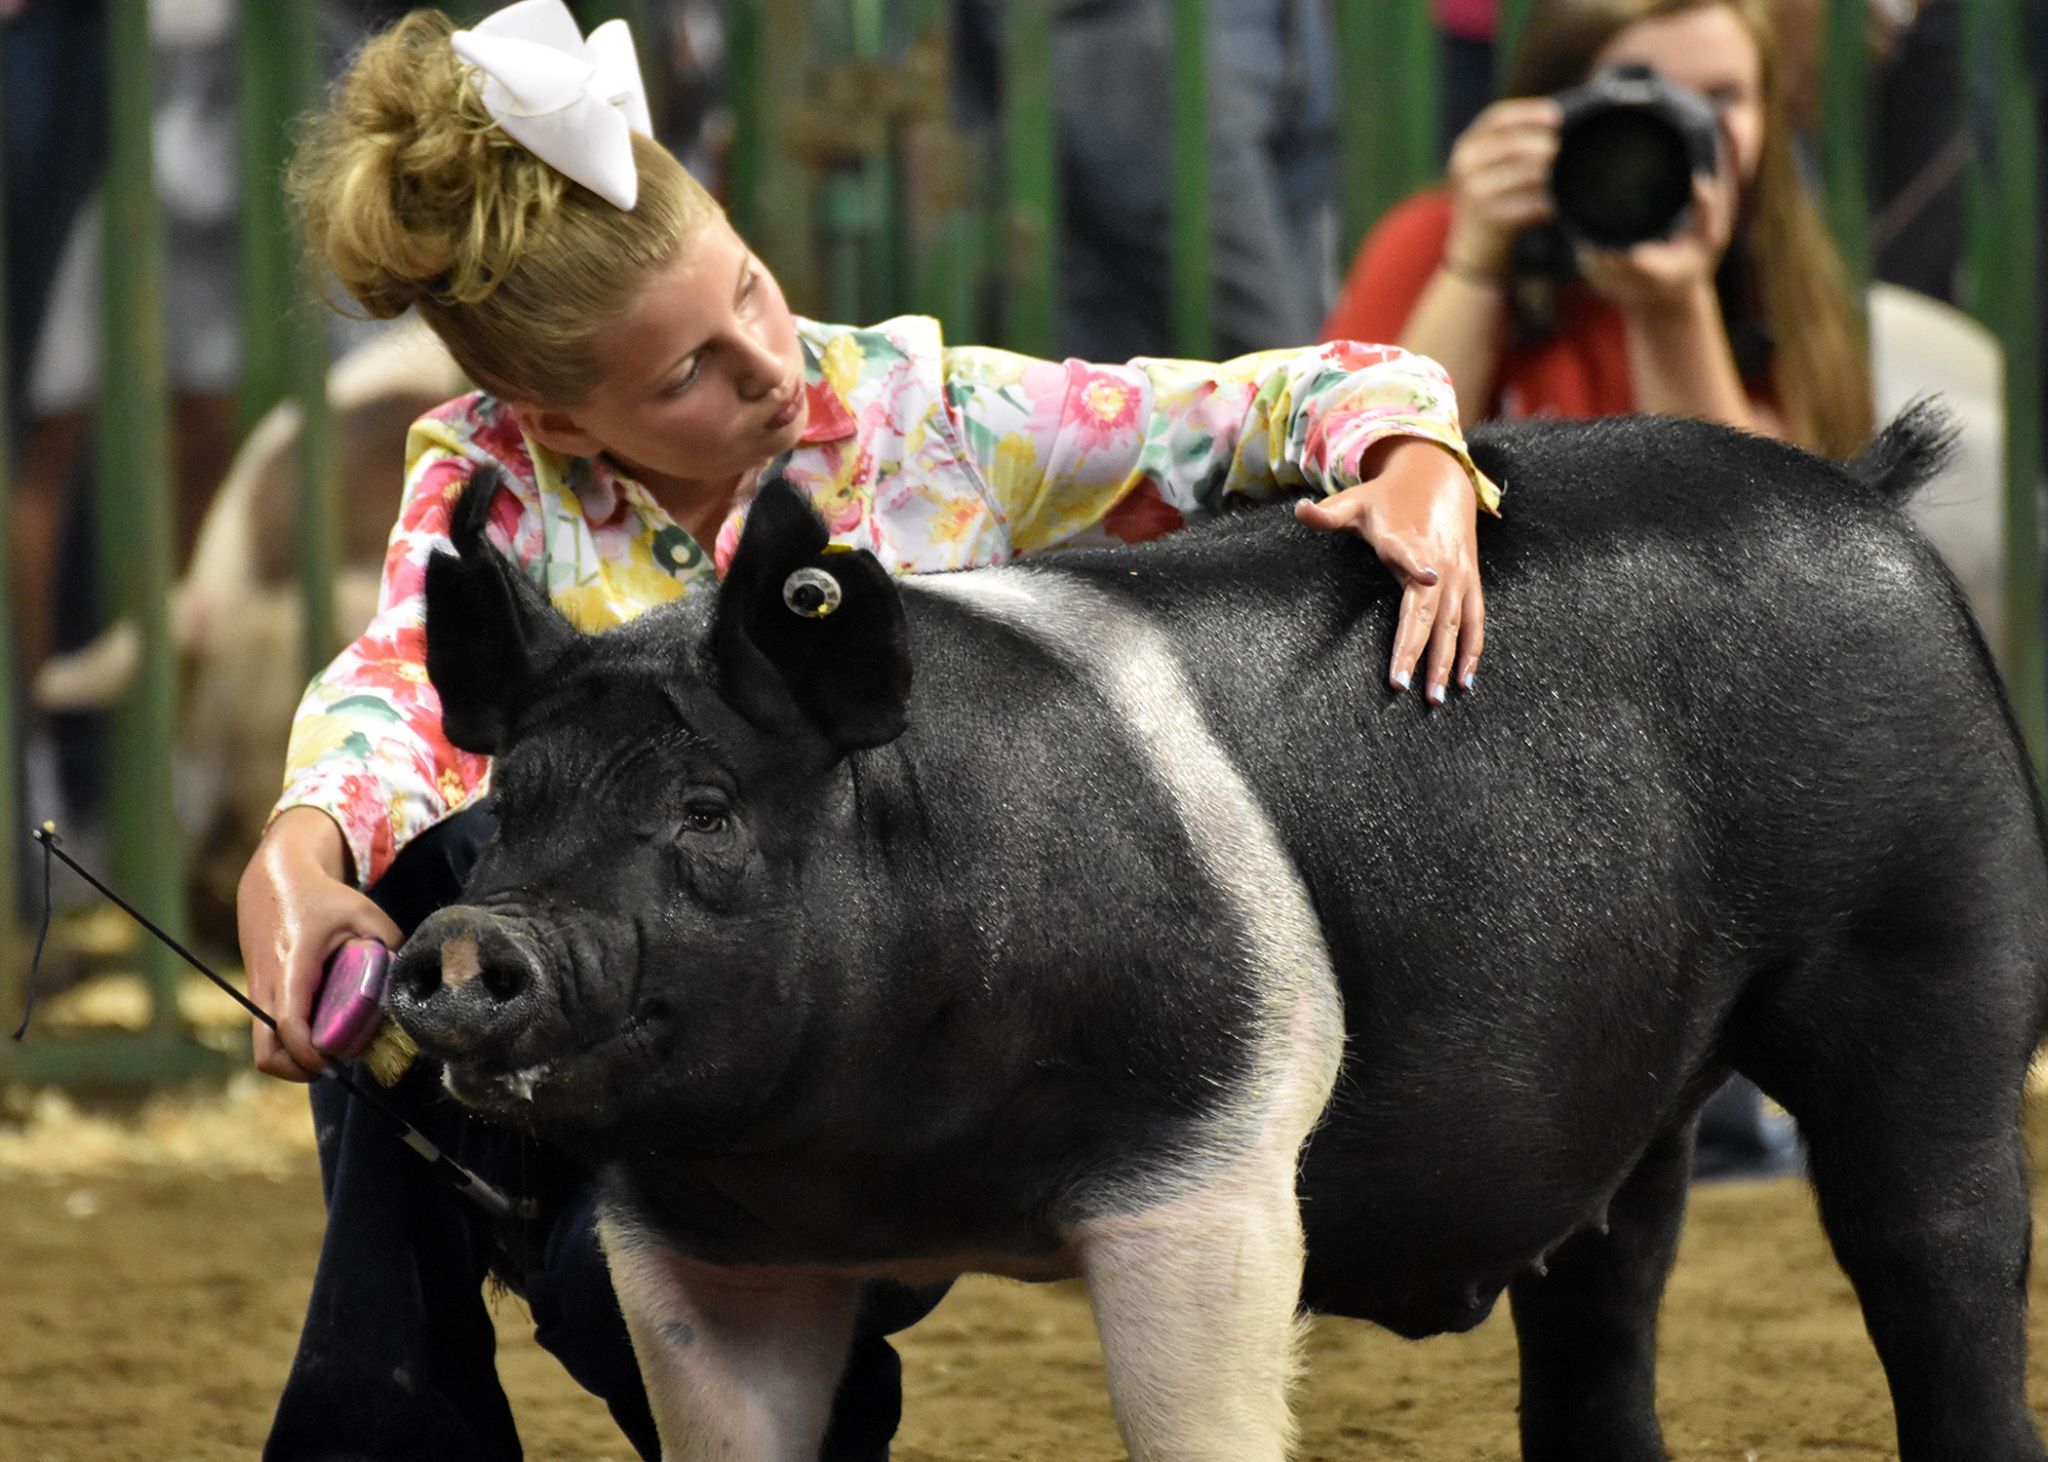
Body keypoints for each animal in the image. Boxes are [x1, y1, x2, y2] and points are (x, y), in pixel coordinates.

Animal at [385, 407, 2048, 1457]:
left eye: (710, 808)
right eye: (507, 804)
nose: (469, 937)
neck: (891, 1162)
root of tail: (1870, 492)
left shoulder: (1211, 1170)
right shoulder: (703, 1254)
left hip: (1937, 934)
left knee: (1940, 1250)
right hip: (1643, 1077)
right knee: (1605, 1303)